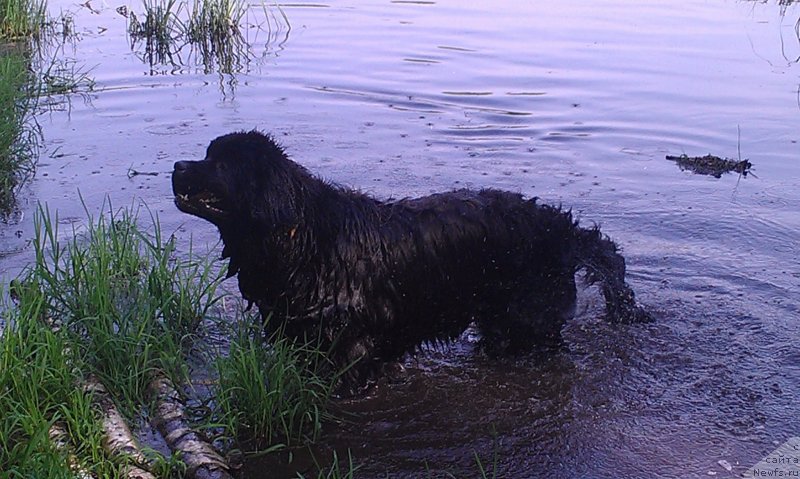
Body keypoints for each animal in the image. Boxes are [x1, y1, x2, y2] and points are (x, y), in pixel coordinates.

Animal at [170, 130, 648, 390]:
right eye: (206, 153)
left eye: (220, 164)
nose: (177, 166)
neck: (301, 238)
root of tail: (559, 226)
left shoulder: (350, 349)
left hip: (529, 320)